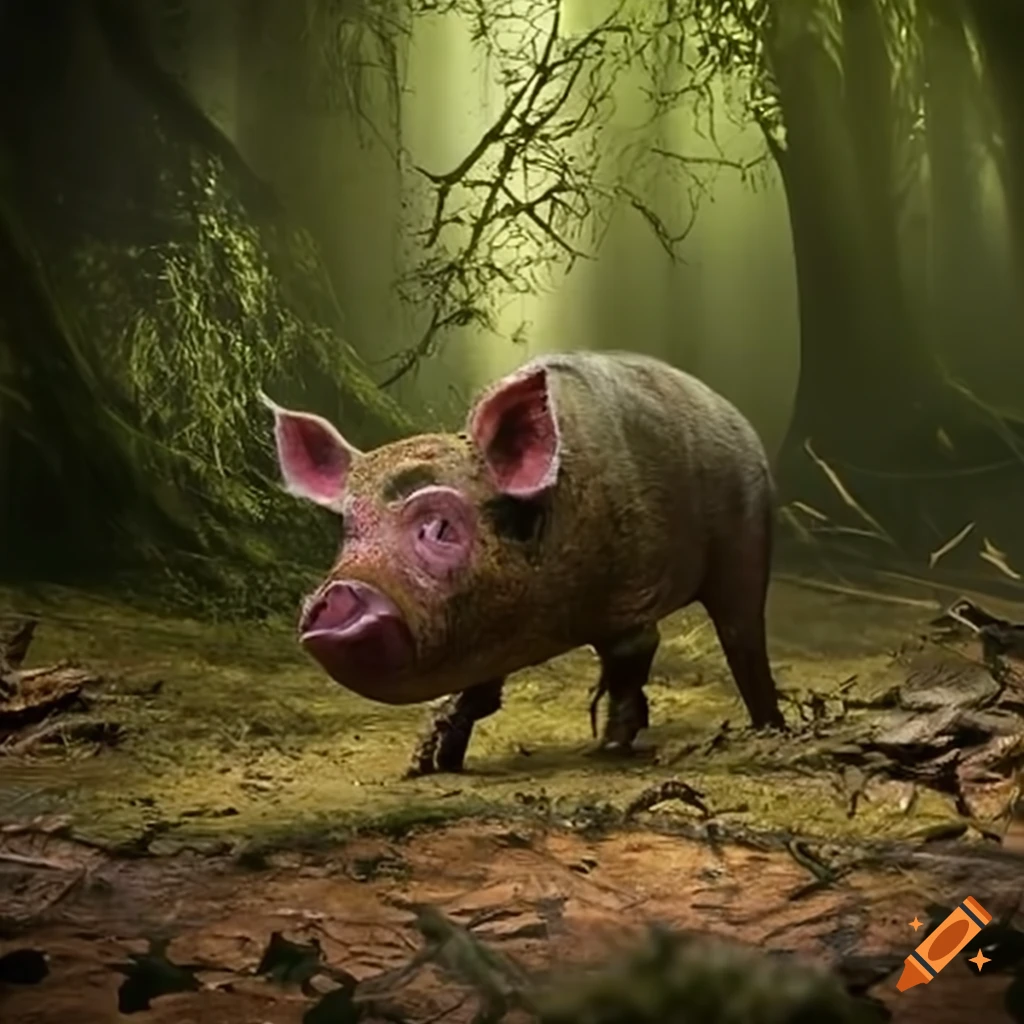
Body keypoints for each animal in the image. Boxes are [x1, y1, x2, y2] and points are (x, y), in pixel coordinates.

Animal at [263, 350, 785, 776]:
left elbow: (631, 657)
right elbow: (479, 695)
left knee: (742, 635)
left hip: (748, 536)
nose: (338, 593)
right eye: (349, 531)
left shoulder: (631, 599)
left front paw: (608, 749)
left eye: (440, 527)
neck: (543, 628)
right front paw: (428, 763)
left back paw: (771, 731)